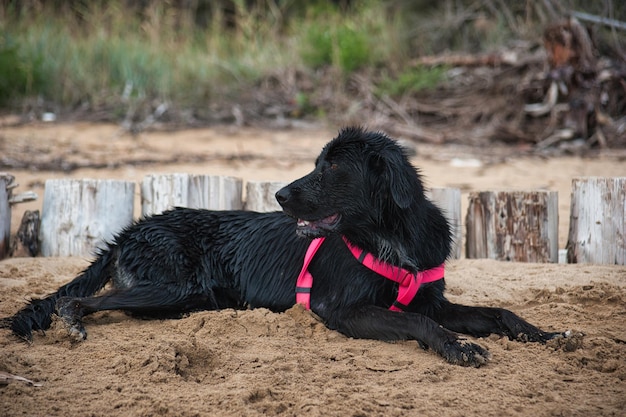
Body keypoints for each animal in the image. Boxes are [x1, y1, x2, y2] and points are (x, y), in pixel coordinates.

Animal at [1, 127, 560, 368]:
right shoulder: (341, 310)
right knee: (78, 300)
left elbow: (499, 312)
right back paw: (73, 320)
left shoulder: (433, 299)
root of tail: (130, 230)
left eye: (332, 168)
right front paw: (458, 347)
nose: (279, 195)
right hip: (175, 288)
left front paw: (548, 334)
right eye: (316, 163)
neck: (391, 236)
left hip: (186, 298)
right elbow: (419, 324)